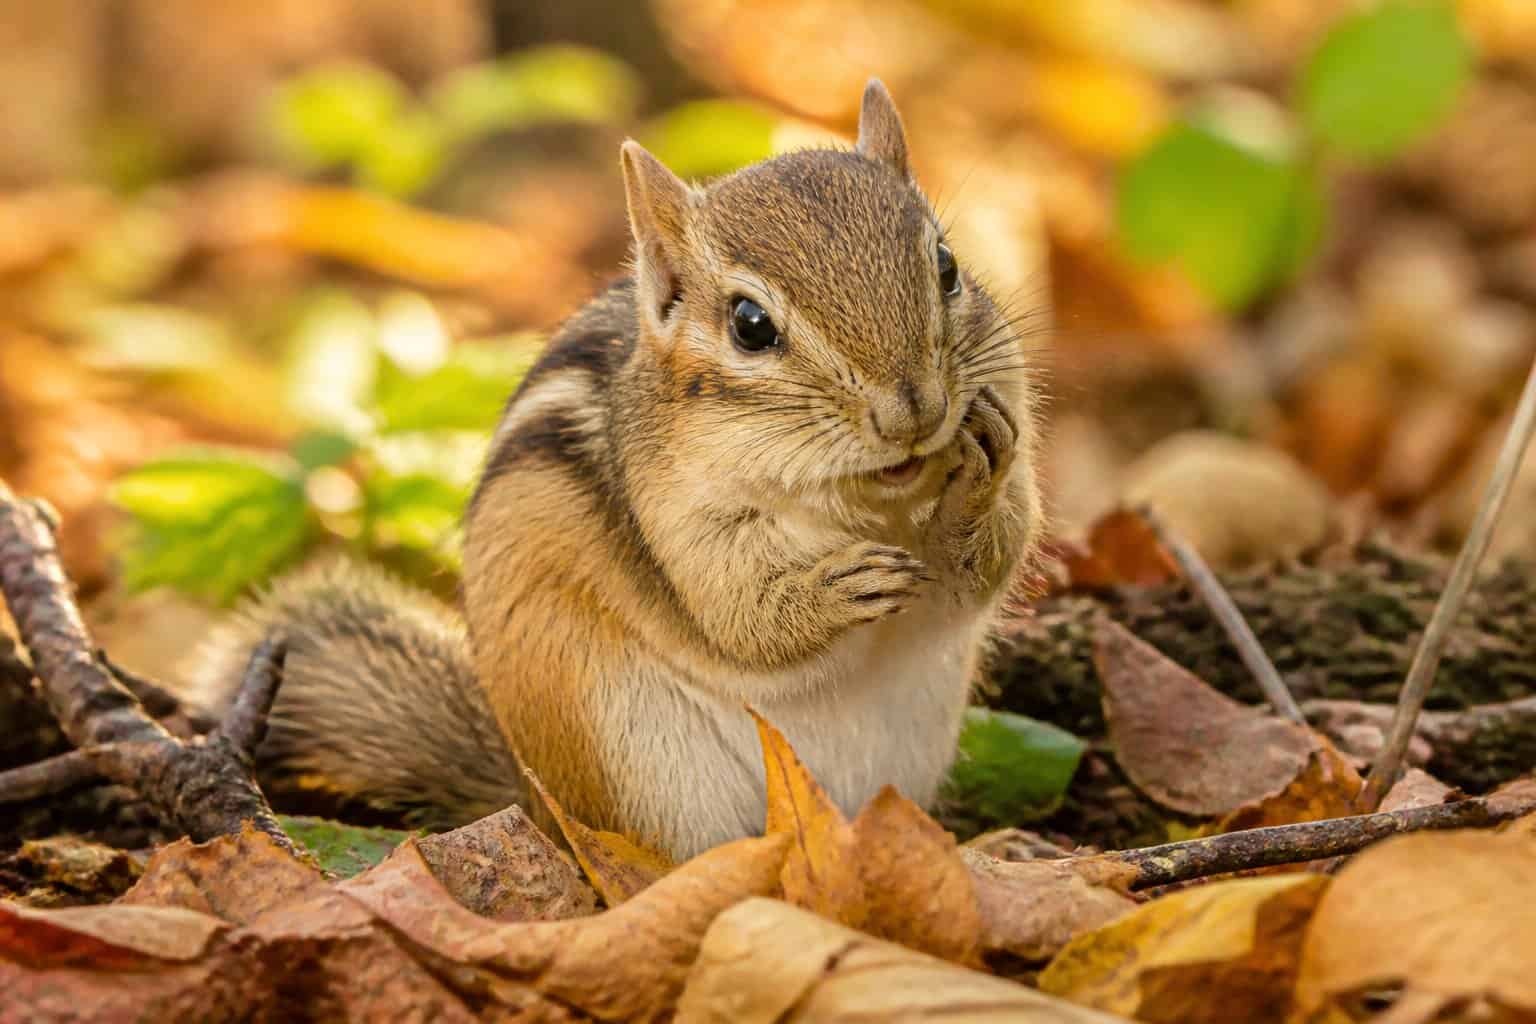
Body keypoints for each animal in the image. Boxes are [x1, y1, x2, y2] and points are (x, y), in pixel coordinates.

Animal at [190, 80, 1045, 861]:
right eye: (750, 324)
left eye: (947, 266)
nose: (914, 411)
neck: (865, 502)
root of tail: (533, 803)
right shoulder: (677, 520)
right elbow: (737, 618)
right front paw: (836, 587)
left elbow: (993, 560)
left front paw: (977, 482)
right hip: (629, 753)